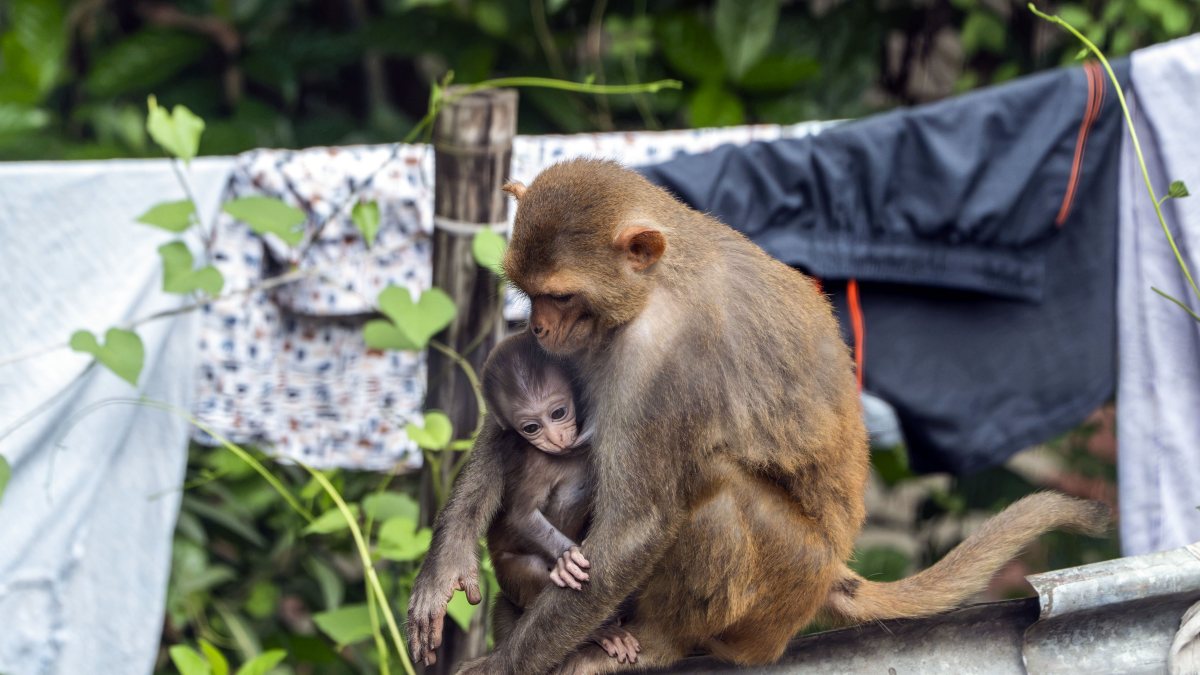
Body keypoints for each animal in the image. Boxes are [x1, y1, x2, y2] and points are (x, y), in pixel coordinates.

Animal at [480, 331, 641, 665]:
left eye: (558, 413)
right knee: (528, 568)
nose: (554, 438)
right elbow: (522, 515)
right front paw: (567, 557)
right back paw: (602, 631)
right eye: (531, 427)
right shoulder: (534, 464)